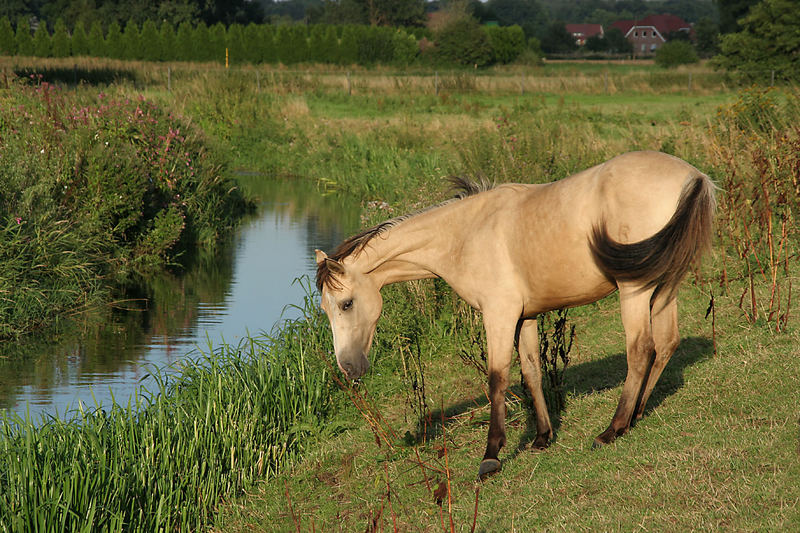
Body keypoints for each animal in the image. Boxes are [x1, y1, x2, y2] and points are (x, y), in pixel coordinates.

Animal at [316, 150, 716, 478]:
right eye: (326, 309)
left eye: (347, 304)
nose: (348, 368)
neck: (465, 234)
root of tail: (693, 176)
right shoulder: (526, 317)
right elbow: (531, 373)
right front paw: (542, 437)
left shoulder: (499, 315)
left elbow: (497, 379)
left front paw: (491, 457)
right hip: (664, 286)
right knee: (666, 344)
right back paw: (635, 415)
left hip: (636, 290)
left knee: (641, 350)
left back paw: (612, 429)